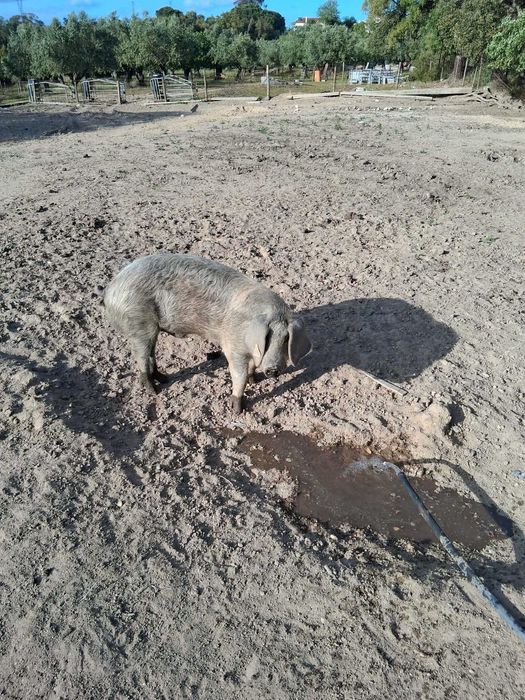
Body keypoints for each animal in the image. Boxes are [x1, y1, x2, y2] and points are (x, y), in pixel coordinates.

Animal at [102, 253, 312, 413]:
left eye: (286, 339)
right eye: (267, 337)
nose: (273, 370)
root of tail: (111, 291)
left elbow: (251, 368)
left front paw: (255, 380)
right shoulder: (232, 347)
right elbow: (239, 375)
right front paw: (238, 410)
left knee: (151, 355)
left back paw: (164, 378)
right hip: (139, 324)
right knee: (142, 359)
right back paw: (154, 391)